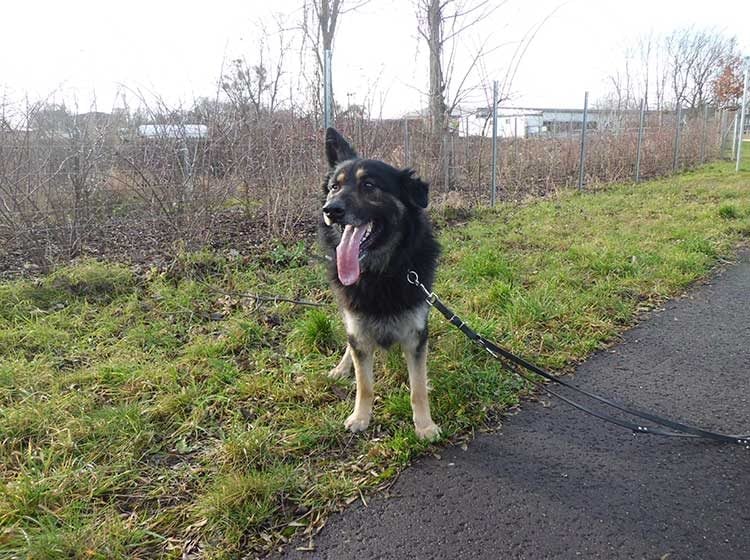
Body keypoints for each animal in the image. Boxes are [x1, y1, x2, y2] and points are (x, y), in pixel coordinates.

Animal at [318, 129, 440, 440]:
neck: (380, 273)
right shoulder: (358, 329)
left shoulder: (416, 334)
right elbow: (365, 385)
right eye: (334, 187)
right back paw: (342, 367)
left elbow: (417, 387)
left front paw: (424, 425)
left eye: (369, 185)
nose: (331, 210)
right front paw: (361, 417)